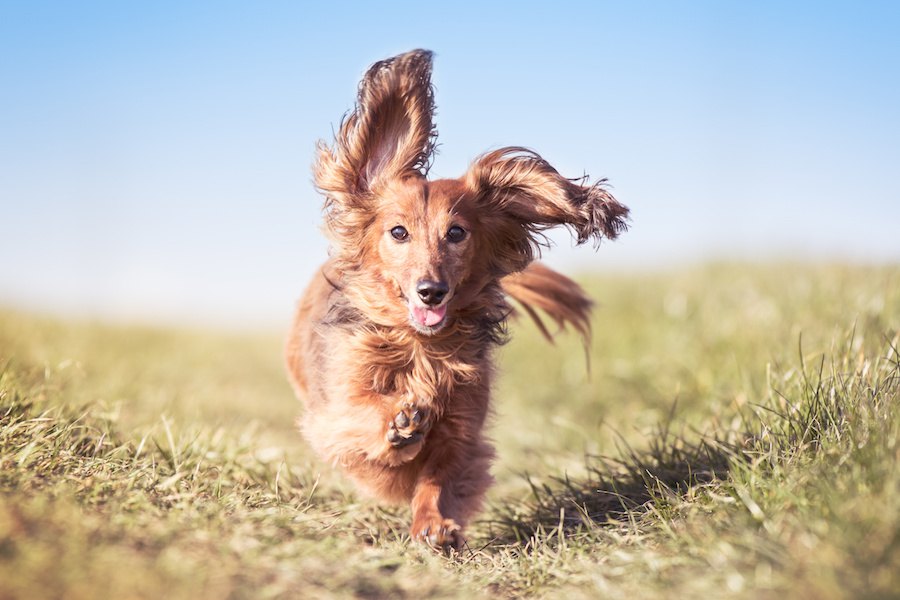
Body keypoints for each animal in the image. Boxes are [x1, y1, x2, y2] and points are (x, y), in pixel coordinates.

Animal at [284, 49, 628, 552]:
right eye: (398, 232)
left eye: (457, 233)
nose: (431, 291)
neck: (420, 348)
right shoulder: (337, 411)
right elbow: (364, 417)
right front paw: (400, 423)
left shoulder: (462, 430)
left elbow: (438, 479)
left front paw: (434, 523)